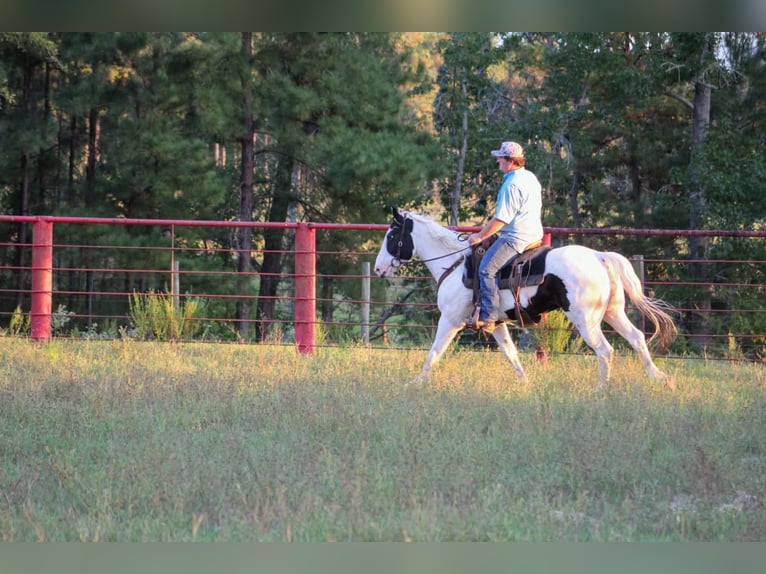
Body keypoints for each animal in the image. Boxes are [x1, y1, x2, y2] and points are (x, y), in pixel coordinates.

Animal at [373, 208, 677, 390]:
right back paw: (660, 378)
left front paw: (414, 384)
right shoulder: (496, 325)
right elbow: (511, 355)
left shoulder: (450, 321)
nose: (378, 269)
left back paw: (600, 389)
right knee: (636, 338)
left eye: (391, 235)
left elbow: (434, 354)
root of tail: (598, 256)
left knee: (605, 350)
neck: (456, 265)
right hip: (613, 312)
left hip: (586, 320)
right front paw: (526, 384)